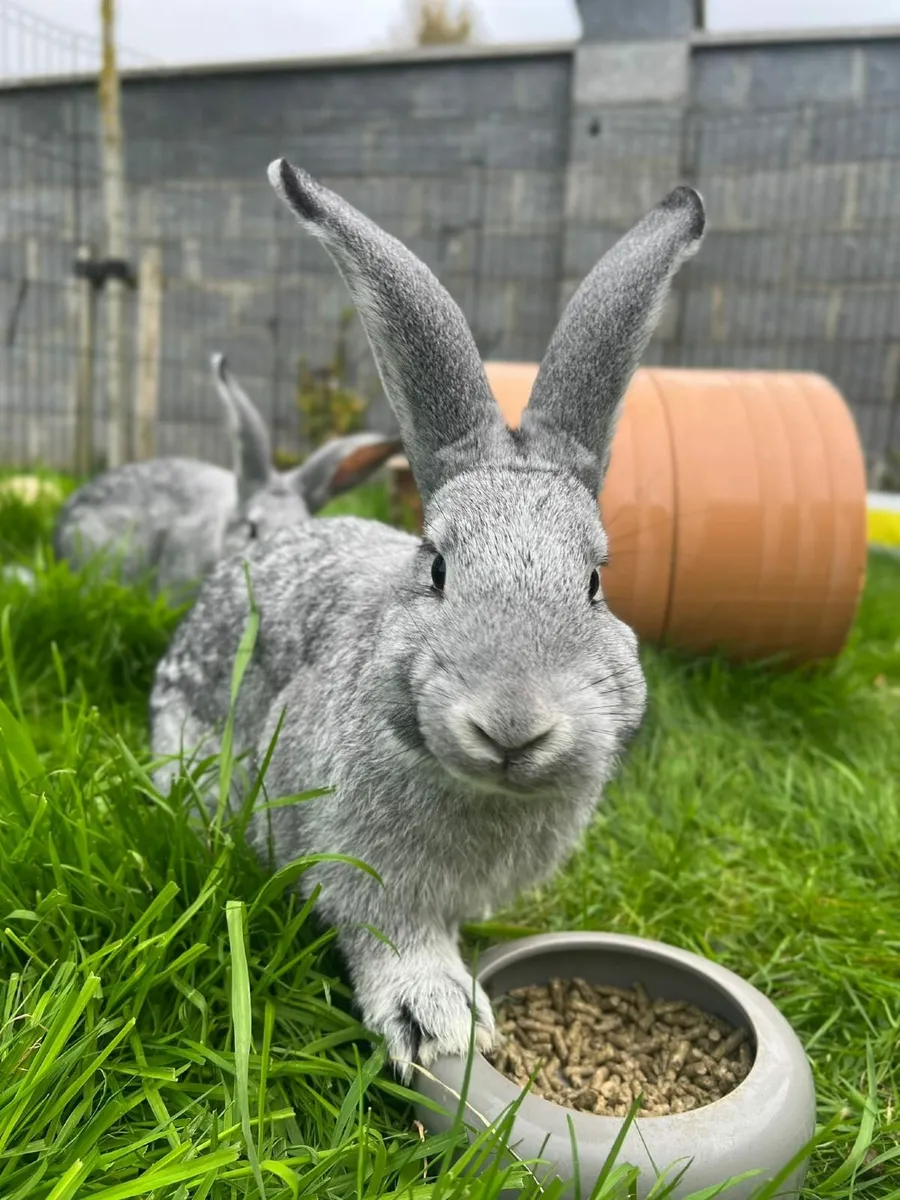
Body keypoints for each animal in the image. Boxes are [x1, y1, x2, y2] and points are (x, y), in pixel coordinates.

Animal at [150, 158, 705, 1078]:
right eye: (437, 567)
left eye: (595, 582)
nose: (512, 725)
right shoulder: (362, 872)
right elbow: (392, 938)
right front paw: (441, 1025)